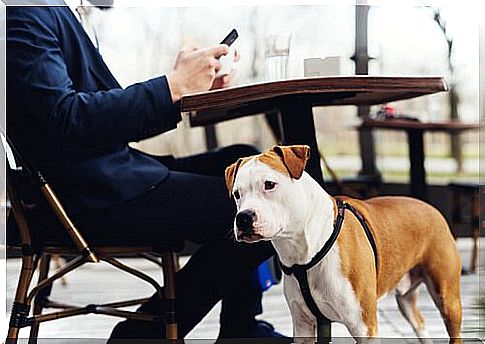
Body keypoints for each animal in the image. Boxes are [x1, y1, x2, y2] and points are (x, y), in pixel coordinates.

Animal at [224, 145, 462, 344]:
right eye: (236, 194)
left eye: (269, 184)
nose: (243, 217)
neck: (304, 251)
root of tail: (431, 208)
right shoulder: (303, 326)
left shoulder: (364, 327)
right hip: (406, 300)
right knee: (419, 323)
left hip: (447, 298)